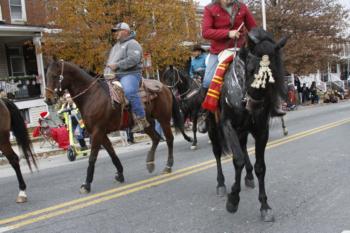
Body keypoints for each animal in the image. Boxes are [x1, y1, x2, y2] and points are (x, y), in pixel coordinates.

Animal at [45, 59, 193, 193]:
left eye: (54, 75)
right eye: (46, 76)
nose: (48, 99)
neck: (91, 96)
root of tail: (164, 87)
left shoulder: (97, 132)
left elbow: (92, 158)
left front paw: (86, 184)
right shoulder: (100, 133)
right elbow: (112, 153)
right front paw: (120, 174)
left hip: (163, 119)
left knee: (169, 139)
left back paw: (168, 166)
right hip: (146, 123)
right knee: (156, 138)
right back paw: (150, 163)